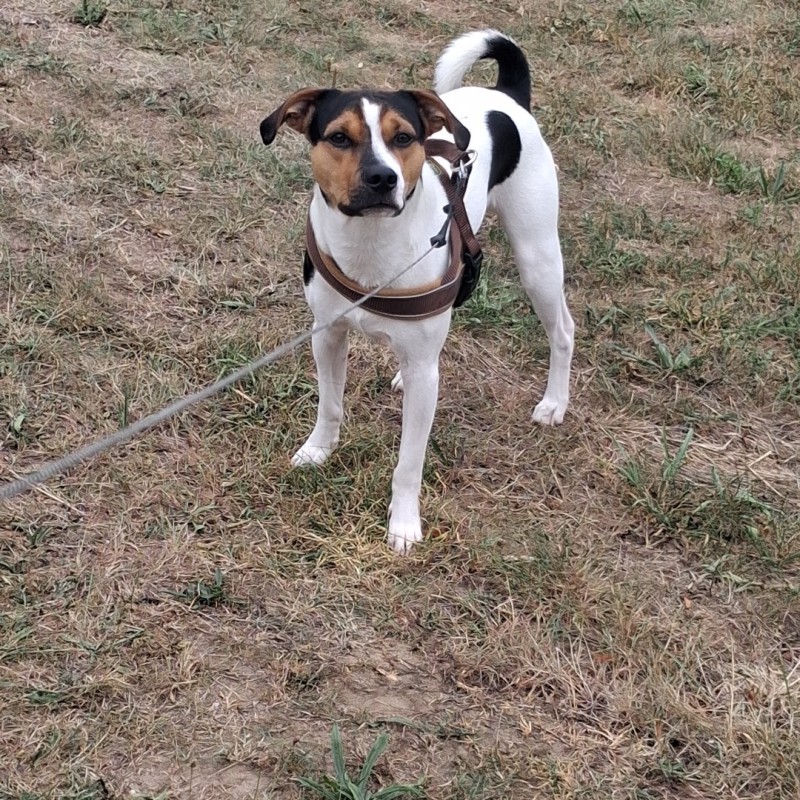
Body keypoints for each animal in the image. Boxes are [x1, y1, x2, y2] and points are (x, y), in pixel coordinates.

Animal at [260, 30, 574, 553]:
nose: (382, 178)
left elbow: (409, 461)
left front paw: (404, 524)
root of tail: (506, 97)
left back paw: (555, 403)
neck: (371, 245)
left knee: (563, 330)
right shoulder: (327, 335)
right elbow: (330, 405)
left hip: (538, 257)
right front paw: (318, 450)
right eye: (339, 137)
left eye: (403, 137)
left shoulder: (424, 378)